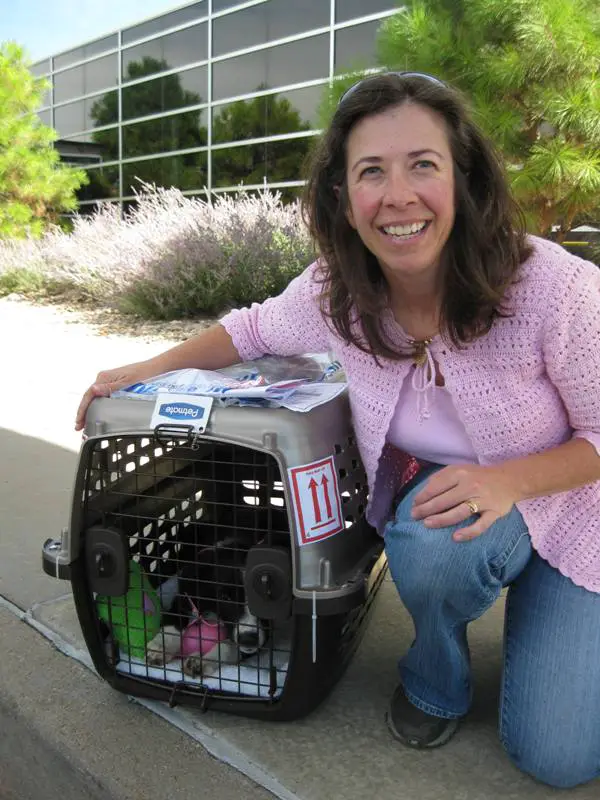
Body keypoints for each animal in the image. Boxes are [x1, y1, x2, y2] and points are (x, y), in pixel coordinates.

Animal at [43, 372, 390, 720]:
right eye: (226, 596)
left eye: (265, 595)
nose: (249, 635)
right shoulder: (184, 594)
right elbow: (171, 623)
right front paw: (158, 648)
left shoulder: (260, 634)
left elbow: (228, 647)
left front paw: (200, 661)